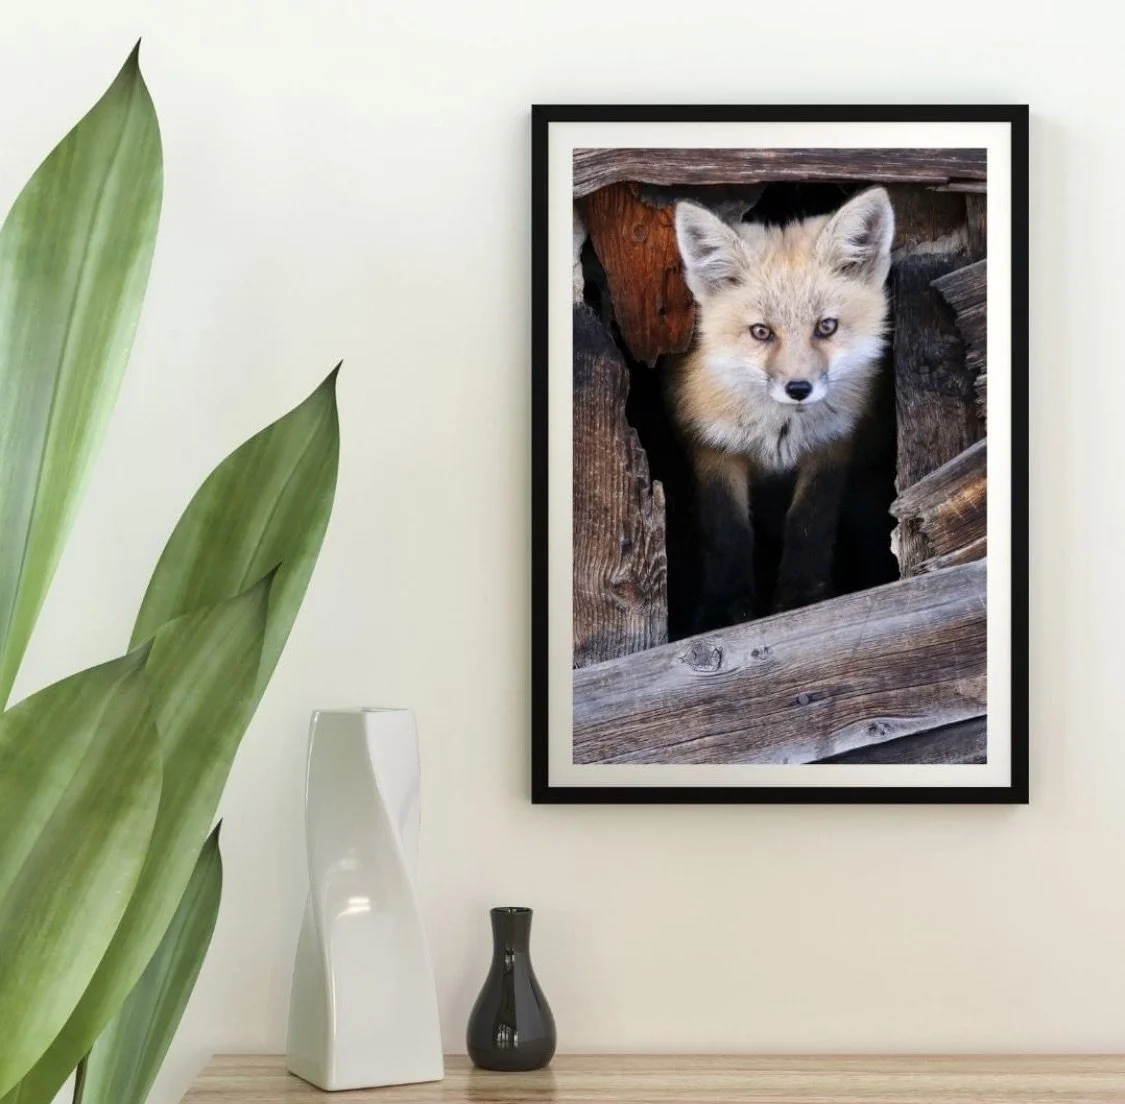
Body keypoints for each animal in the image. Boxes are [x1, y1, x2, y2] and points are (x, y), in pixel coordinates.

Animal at [666, 186, 895, 629]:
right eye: (761, 332)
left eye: (826, 327)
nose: (799, 389)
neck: (779, 431)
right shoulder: (713, 447)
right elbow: (727, 532)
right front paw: (724, 609)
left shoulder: (832, 444)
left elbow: (809, 521)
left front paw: (802, 597)